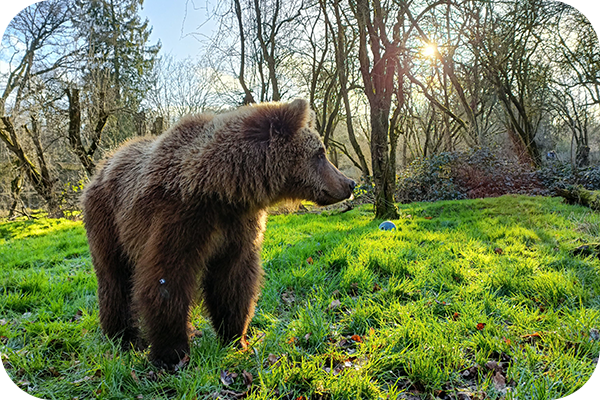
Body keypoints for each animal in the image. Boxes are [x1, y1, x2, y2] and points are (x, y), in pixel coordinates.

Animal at [81, 98, 354, 368]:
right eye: (320, 153)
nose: (349, 183)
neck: (221, 190)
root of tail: (103, 165)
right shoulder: (178, 219)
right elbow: (165, 279)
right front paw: (171, 353)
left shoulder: (236, 229)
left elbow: (233, 281)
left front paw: (235, 337)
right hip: (108, 220)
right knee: (113, 276)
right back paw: (122, 336)